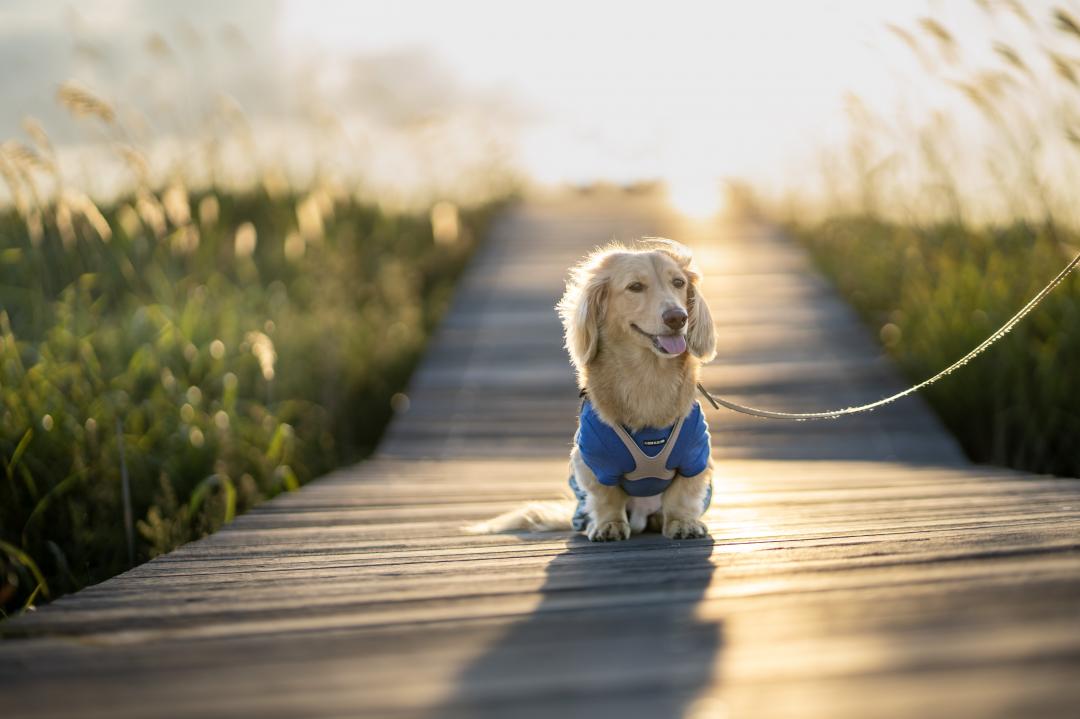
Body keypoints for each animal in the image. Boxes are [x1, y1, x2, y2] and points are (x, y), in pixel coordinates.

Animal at [468, 237, 712, 539]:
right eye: (635, 287)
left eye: (678, 282)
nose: (677, 318)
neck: (648, 376)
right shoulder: (593, 460)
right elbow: (607, 497)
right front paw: (609, 525)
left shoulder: (696, 455)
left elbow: (682, 494)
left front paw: (682, 522)